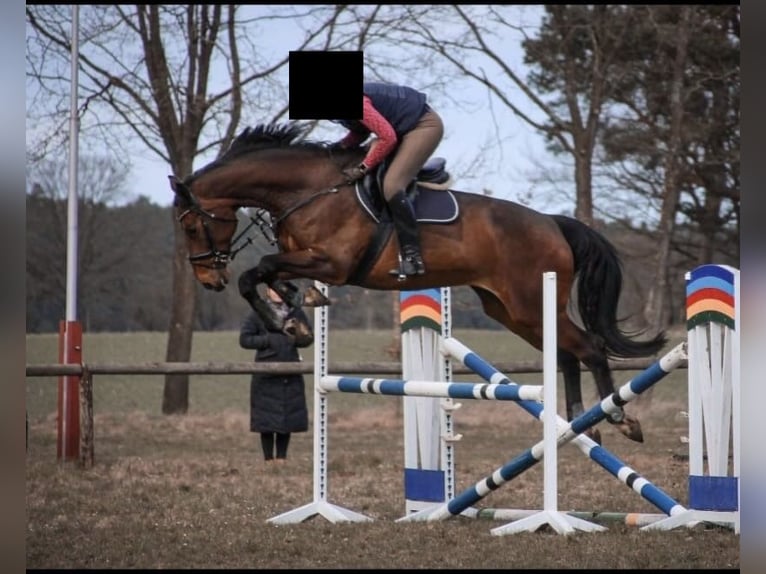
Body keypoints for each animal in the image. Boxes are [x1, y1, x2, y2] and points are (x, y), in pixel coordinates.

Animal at [169, 122, 667, 444]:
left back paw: (620, 419)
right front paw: (296, 319)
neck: (308, 191)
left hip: (528, 303)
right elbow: (267, 276)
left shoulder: (332, 264)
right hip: (512, 311)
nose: (208, 278)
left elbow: (255, 272)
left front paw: (290, 322)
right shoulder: (308, 263)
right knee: (566, 354)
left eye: (191, 226)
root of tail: (551, 222)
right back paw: (581, 423)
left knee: (589, 348)